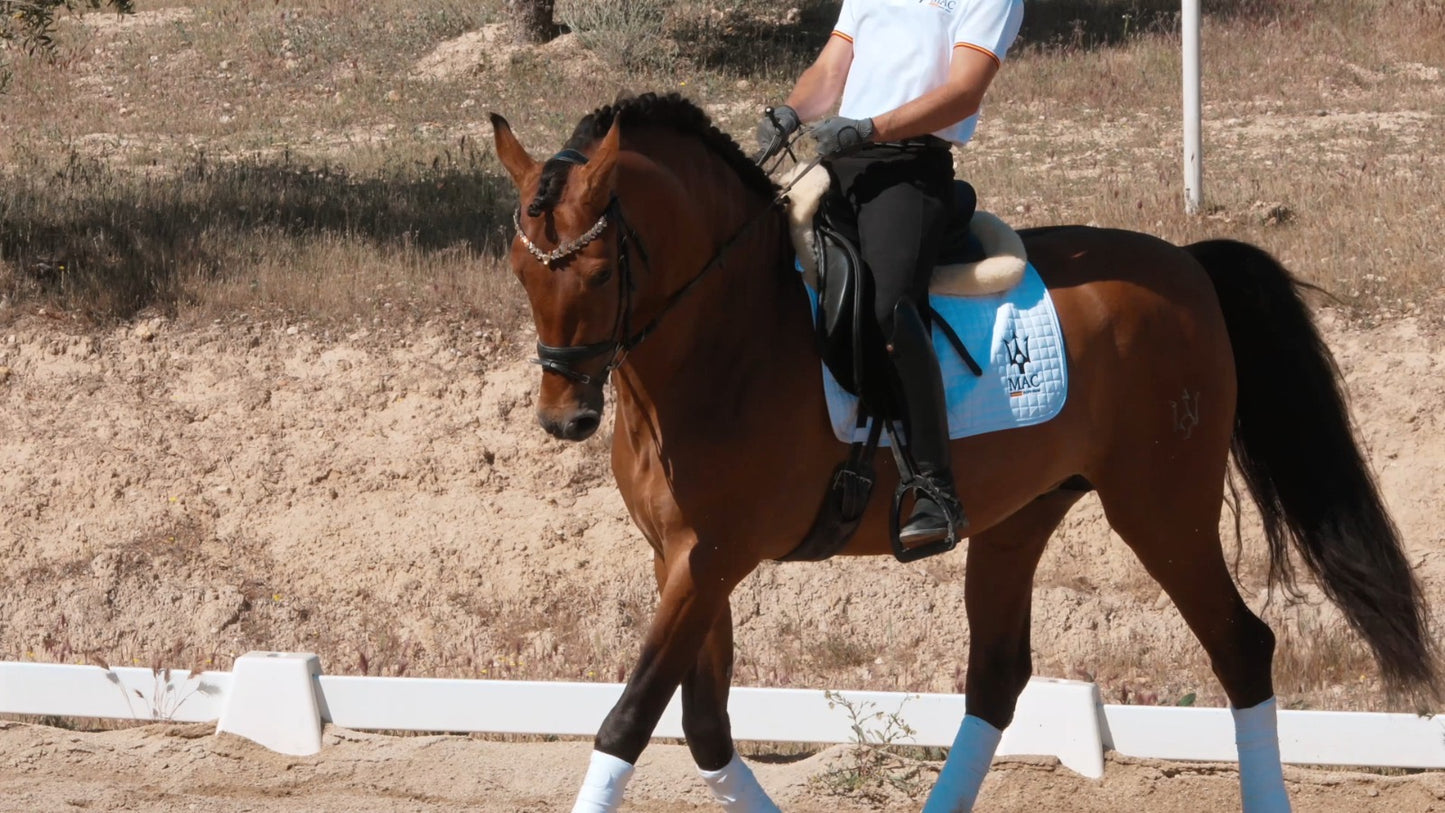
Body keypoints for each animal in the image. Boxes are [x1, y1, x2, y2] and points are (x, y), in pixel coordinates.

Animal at [488, 93, 1437, 813]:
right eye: (520, 269)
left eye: (599, 271)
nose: (565, 418)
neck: (723, 336)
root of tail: (1187, 265)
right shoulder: (682, 560)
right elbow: (704, 727)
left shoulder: (713, 557)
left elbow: (629, 720)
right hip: (1022, 514)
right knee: (996, 678)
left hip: (1160, 508)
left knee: (1240, 647)